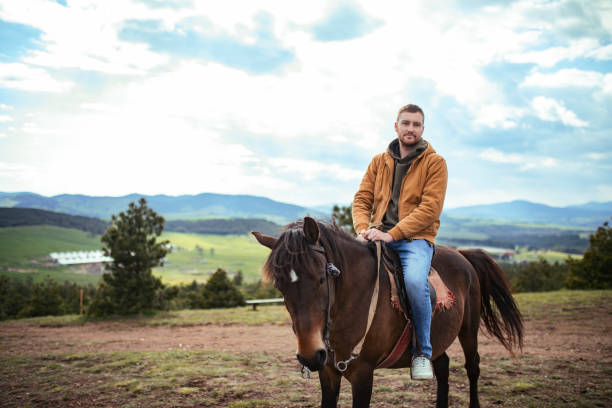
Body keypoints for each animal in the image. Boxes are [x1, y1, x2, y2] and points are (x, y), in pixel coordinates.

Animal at [251, 217, 524, 404]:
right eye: (280, 285)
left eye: (320, 279)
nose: (309, 356)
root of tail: (462, 254)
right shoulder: (328, 372)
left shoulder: (363, 374)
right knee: (443, 365)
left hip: (469, 329)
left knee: (472, 367)